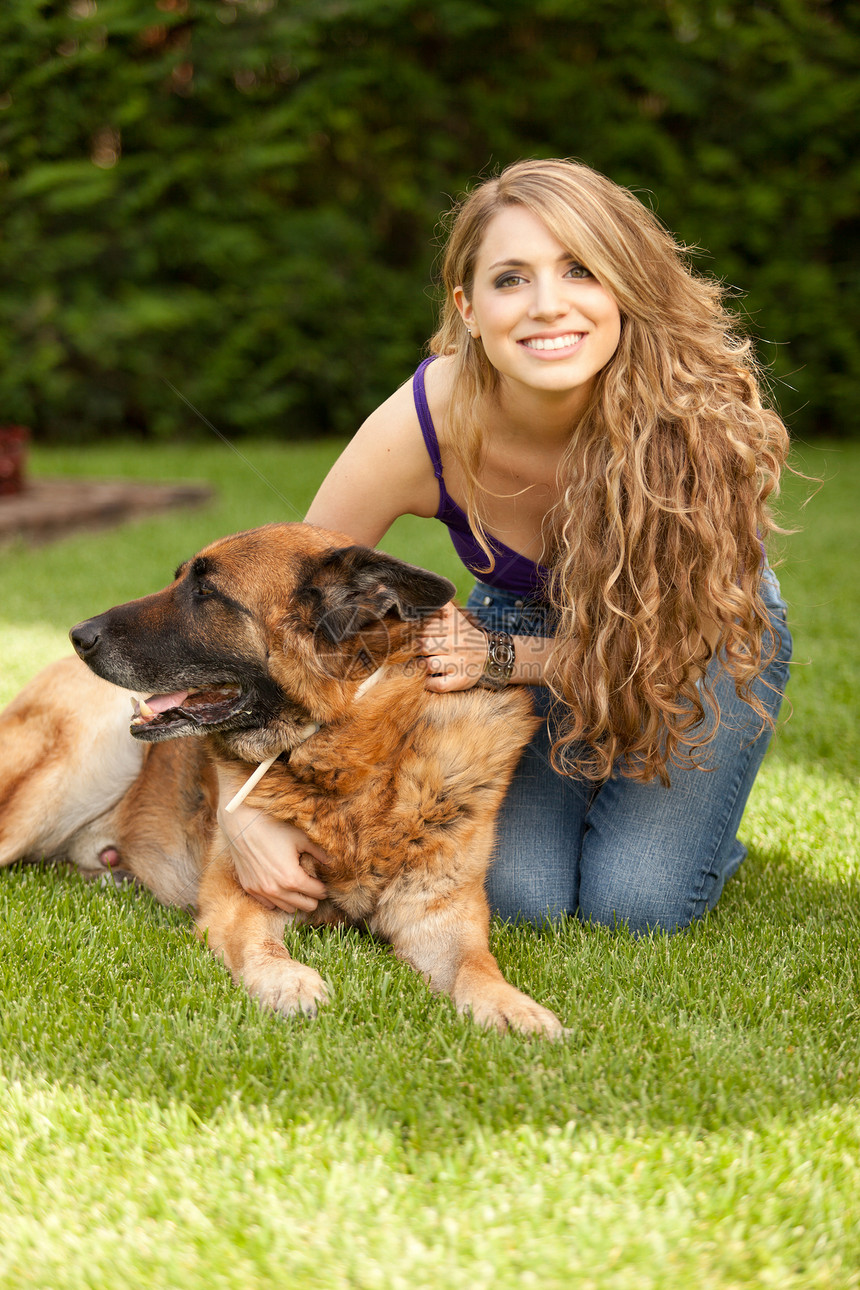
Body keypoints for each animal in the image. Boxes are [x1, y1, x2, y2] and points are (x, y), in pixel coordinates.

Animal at [0, 523, 564, 1037]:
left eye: (206, 592)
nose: (78, 635)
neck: (351, 752)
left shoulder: (437, 918)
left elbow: (477, 965)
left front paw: (513, 1008)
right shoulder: (241, 898)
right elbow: (261, 944)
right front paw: (287, 980)